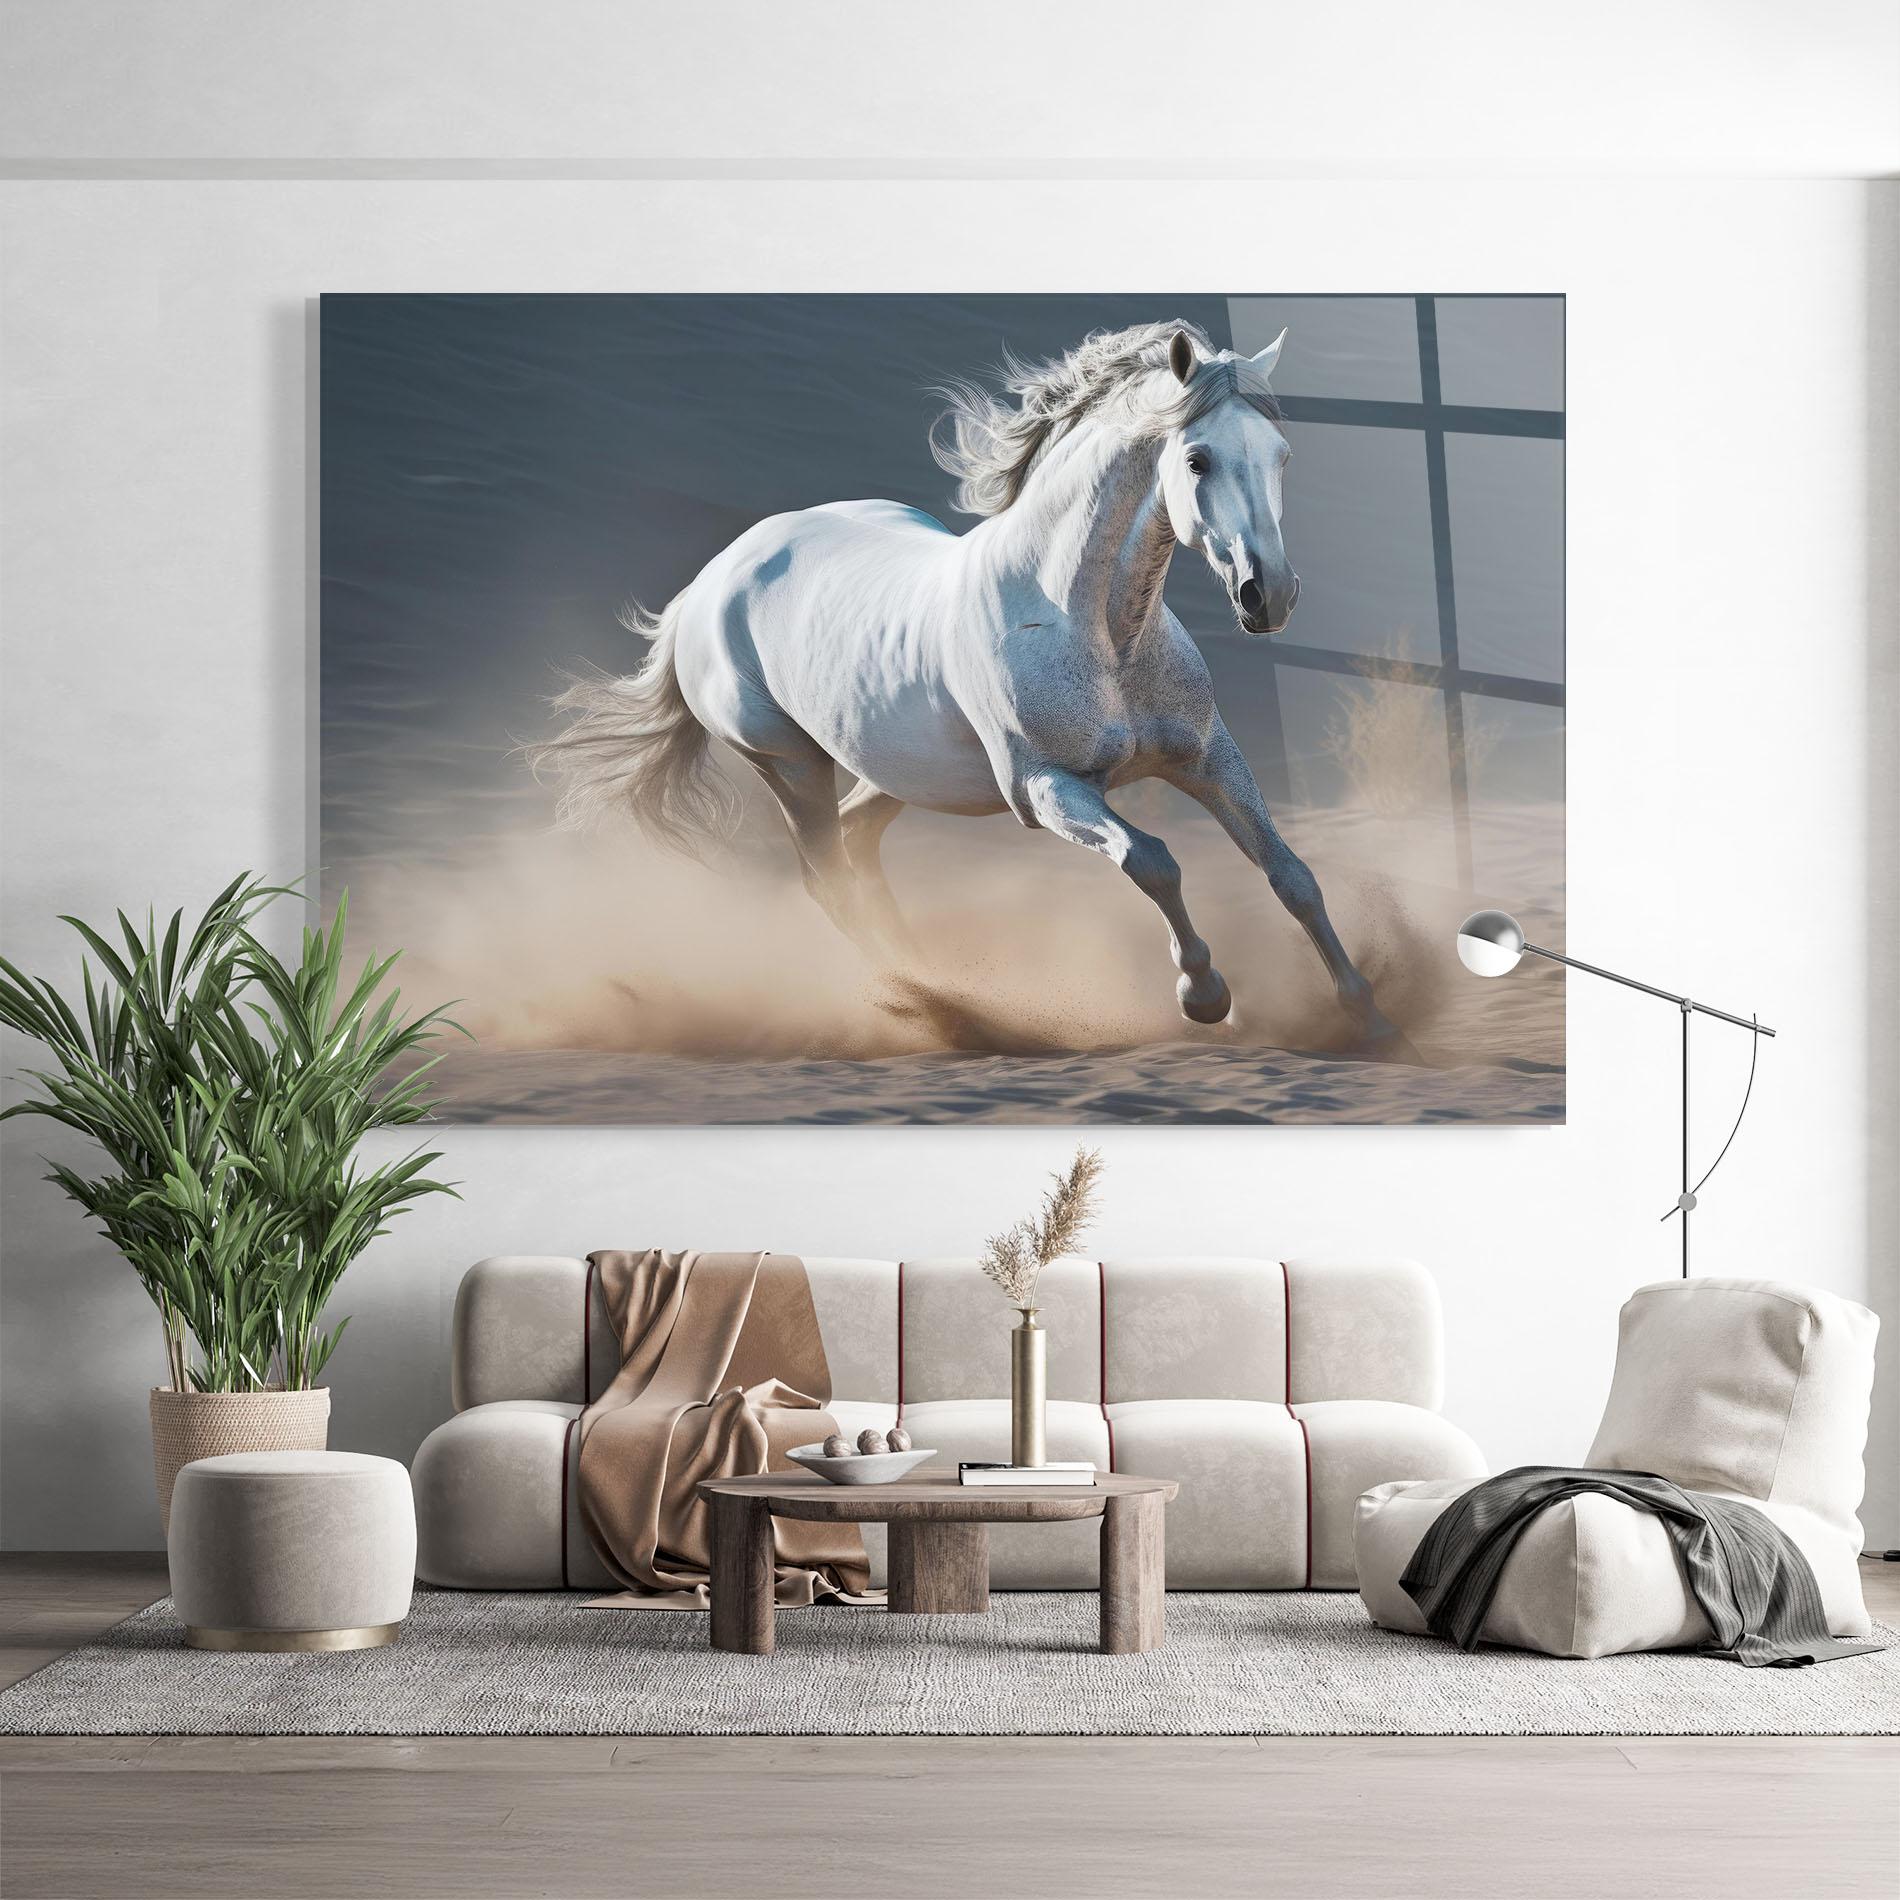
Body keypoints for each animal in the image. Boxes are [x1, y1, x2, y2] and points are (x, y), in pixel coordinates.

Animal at [533, 319, 1402, 1049]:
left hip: (896, 770)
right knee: (825, 878)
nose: (1270, 596)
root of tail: (711, 581)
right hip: (787, 764)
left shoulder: (1207, 757)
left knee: (857, 844)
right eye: (1198, 459)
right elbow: (1153, 859)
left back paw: (936, 979)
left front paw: (1367, 1012)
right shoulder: (1045, 788)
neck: (1093, 629)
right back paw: (937, 1005)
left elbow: (1291, 874)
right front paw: (1205, 995)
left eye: (1281, 455)